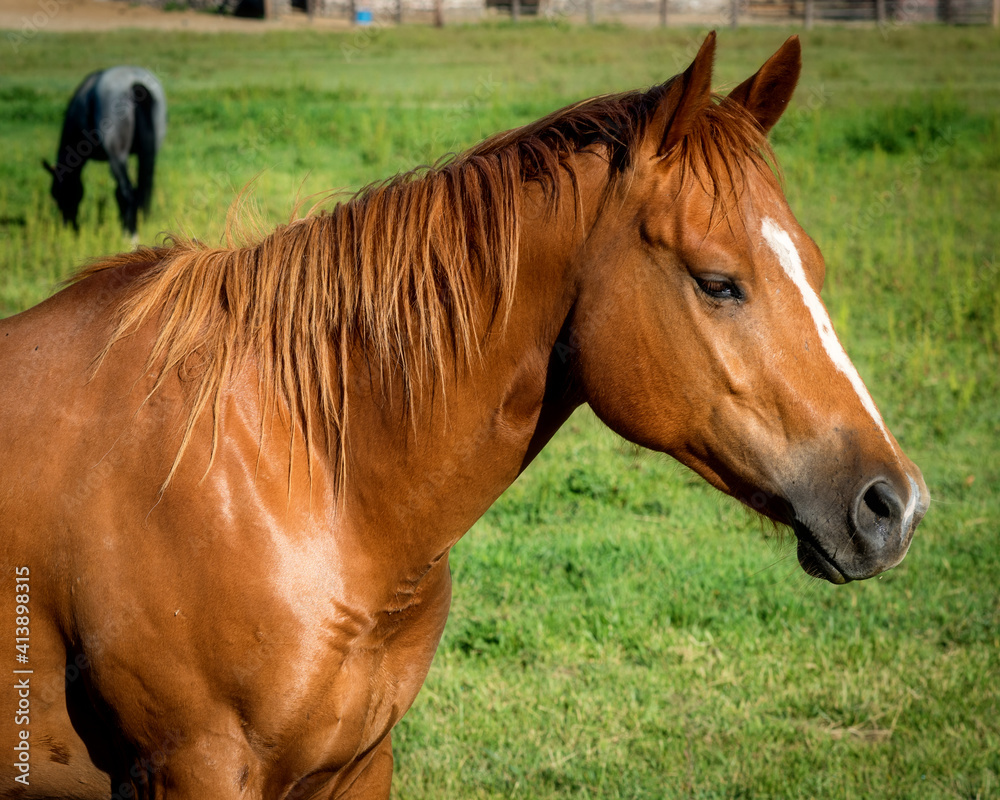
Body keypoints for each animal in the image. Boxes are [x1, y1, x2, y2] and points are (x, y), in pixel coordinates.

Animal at [43, 66, 167, 236]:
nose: (68, 226)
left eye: (57, 194)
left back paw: (129, 234)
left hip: (116, 156)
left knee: (127, 192)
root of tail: (134, 82)